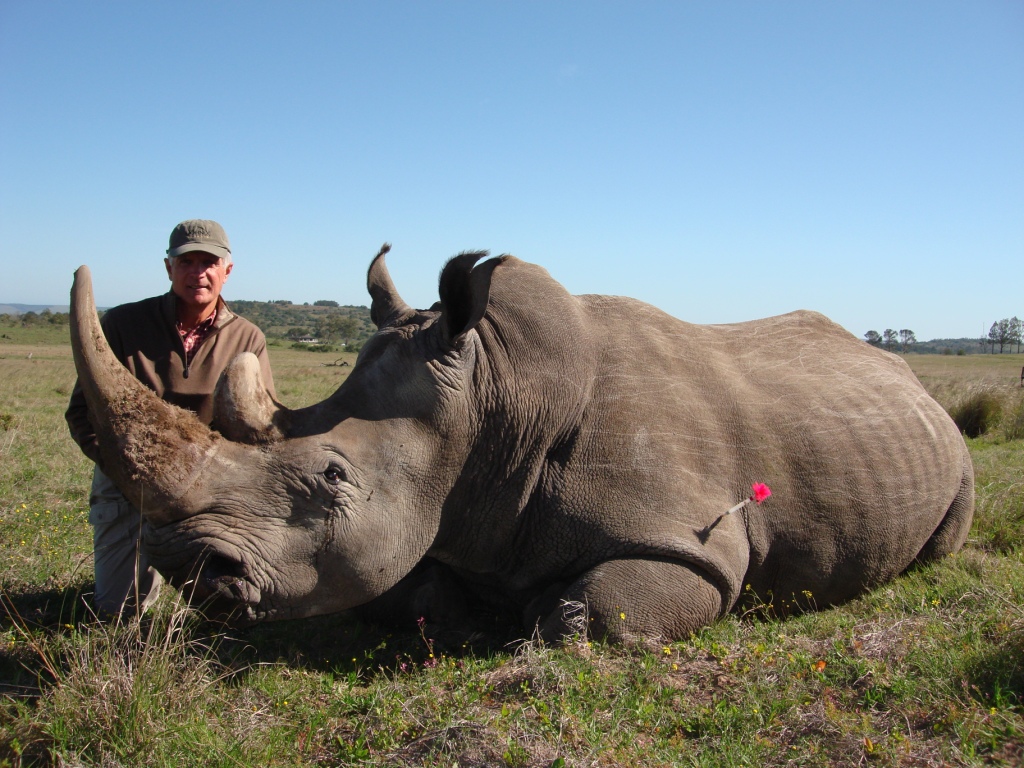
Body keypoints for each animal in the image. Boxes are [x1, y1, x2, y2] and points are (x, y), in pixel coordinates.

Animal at [69, 247, 974, 642]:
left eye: (332, 476)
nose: (187, 567)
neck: (494, 396)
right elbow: (412, 592)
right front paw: (471, 607)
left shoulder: (694, 543)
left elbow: (593, 613)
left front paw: (539, 611)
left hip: (951, 445)